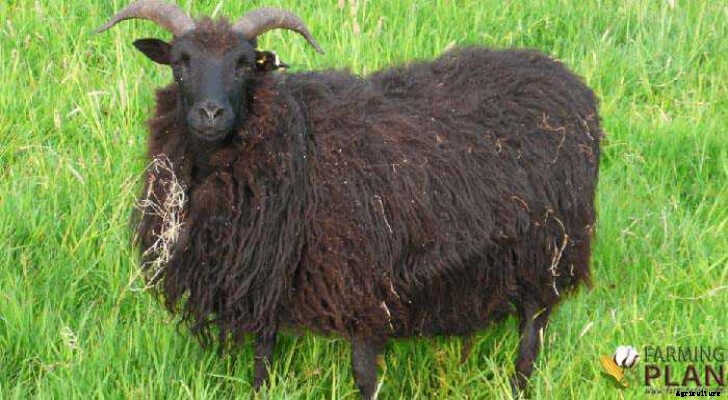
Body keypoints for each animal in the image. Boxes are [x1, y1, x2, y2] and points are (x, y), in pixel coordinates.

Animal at [97, 1, 602, 398]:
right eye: (179, 62)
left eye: (243, 64)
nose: (210, 113)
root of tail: (564, 77)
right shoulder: (264, 278)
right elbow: (262, 358)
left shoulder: (362, 283)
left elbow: (363, 373)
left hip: (548, 254)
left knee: (531, 337)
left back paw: (520, 386)